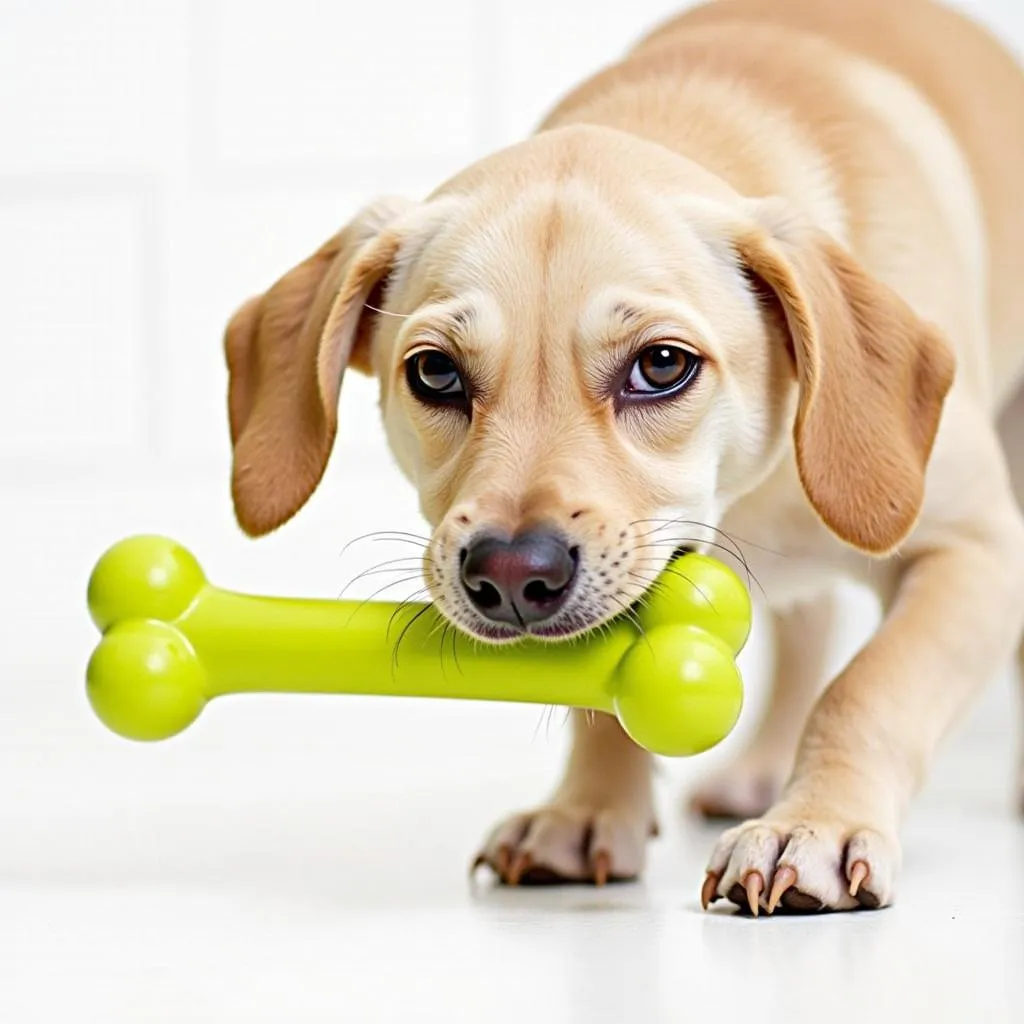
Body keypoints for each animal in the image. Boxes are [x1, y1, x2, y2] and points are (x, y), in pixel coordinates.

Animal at [222, 0, 1024, 913]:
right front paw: (585, 811)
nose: (509, 575)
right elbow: (604, 692)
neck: (745, 495)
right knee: (808, 624)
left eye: (663, 365)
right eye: (435, 372)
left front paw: (815, 825)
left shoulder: (978, 554)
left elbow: (869, 688)